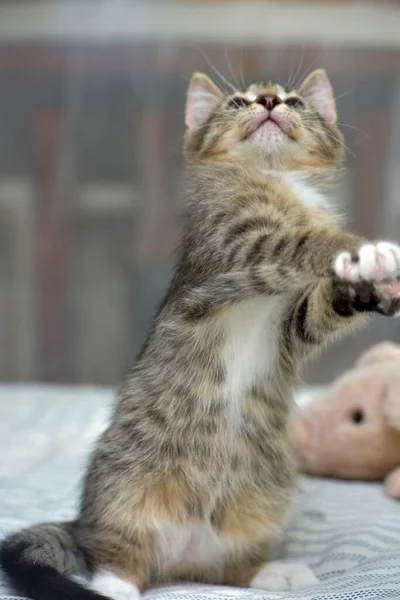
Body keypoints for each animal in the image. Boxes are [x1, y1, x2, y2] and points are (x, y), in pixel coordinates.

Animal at [2, 70, 400, 600]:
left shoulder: (292, 325)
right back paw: (115, 586)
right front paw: (365, 251)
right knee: (118, 556)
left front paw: (369, 285)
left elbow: (317, 309)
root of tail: (183, 553)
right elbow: (296, 239)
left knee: (227, 570)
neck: (276, 180)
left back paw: (272, 572)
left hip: (260, 504)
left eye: (294, 101)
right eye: (237, 102)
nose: (269, 101)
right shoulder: (232, 246)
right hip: (124, 488)